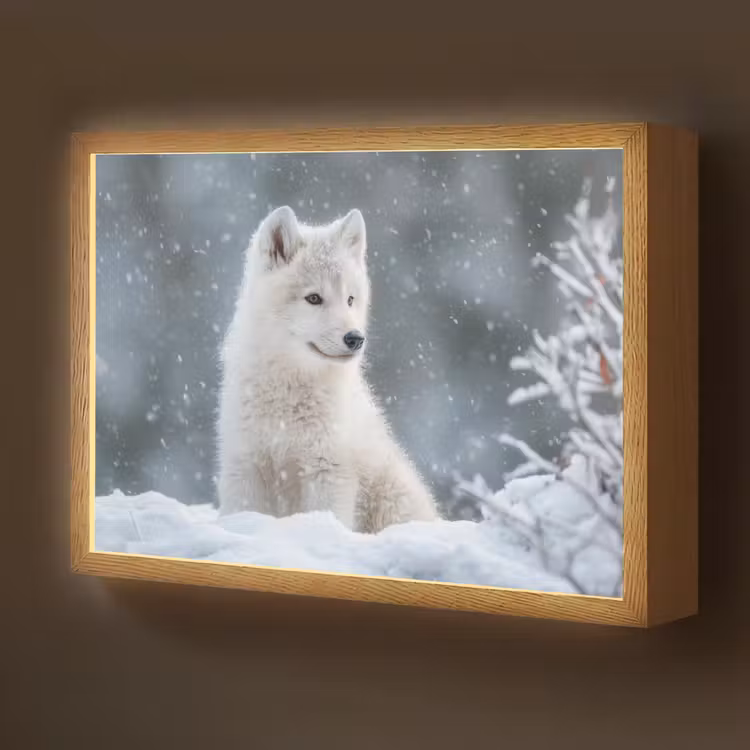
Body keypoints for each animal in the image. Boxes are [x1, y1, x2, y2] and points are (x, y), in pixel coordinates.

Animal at [216, 205, 440, 533]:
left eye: (350, 299)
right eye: (313, 298)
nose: (355, 338)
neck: (288, 396)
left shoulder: (327, 470)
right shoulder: (245, 466)